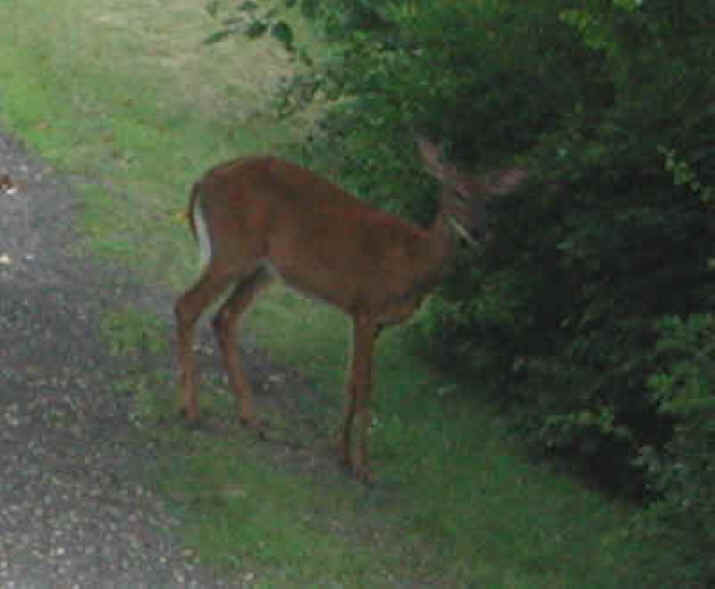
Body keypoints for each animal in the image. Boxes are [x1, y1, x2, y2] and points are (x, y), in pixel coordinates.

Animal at [174, 138, 526, 482]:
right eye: (457, 192)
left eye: (491, 201)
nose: (479, 232)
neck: (413, 262)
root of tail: (205, 178)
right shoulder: (367, 308)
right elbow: (365, 385)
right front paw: (363, 467)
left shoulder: (373, 320)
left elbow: (351, 383)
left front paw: (342, 454)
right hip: (233, 250)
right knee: (187, 305)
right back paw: (190, 411)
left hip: (262, 269)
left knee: (224, 317)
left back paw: (250, 418)